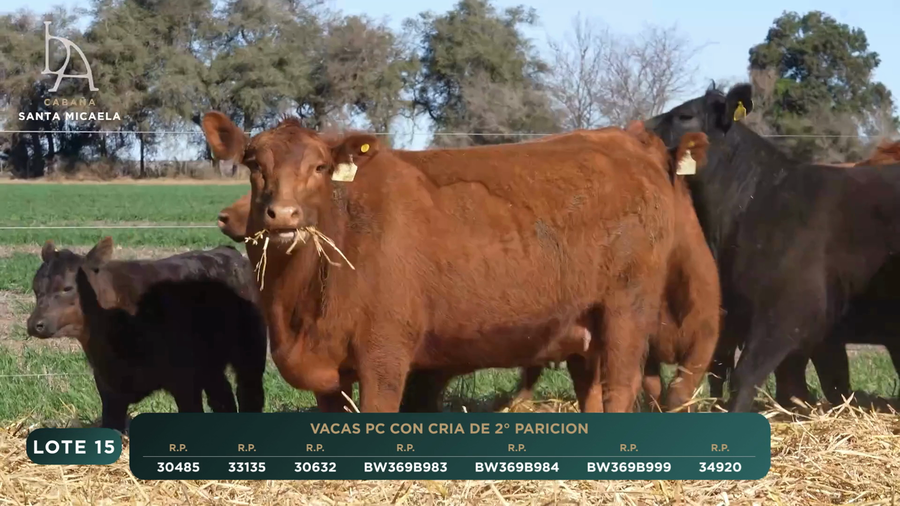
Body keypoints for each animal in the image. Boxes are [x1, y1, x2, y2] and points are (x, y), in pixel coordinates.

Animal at [26, 238, 267, 431]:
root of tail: (227, 251)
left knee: (249, 393)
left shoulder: (184, 382)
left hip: (250, 350)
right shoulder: (108, 387)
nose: (34, 324)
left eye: (67, 288)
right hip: (211, 365)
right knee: (223, 397)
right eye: (36, 287)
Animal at [200, 111, 684, 413]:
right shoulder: (328, 372)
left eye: (319, 167)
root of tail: (622, 141)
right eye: (253, 164)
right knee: (592, 389)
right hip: (585, 323)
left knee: (621, 385)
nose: (283, 214)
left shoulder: (384, 353)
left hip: (626, 312)